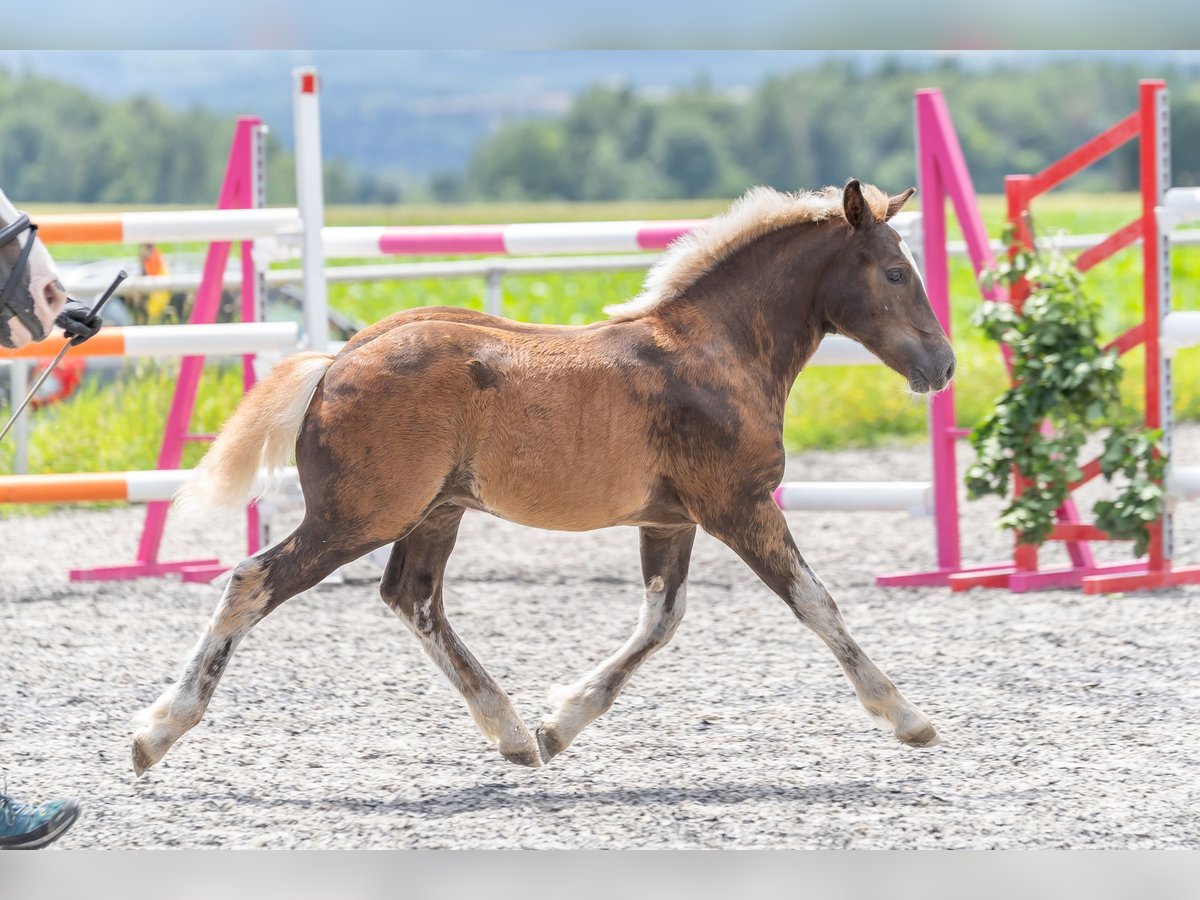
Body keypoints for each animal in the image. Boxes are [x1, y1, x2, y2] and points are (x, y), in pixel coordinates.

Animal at [131, 183, 955, 777]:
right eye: (894, 271)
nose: (943, 365)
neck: (713, 351)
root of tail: (336, 360)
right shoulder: (738, 505)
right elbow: (815, 602)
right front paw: (907, 717)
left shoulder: (671, 519)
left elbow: (661, 620)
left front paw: (561, 725)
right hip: (359, 516)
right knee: (253, 581)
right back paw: (157, 734)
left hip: (436, 512)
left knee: (413, 599)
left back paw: (513, 734)